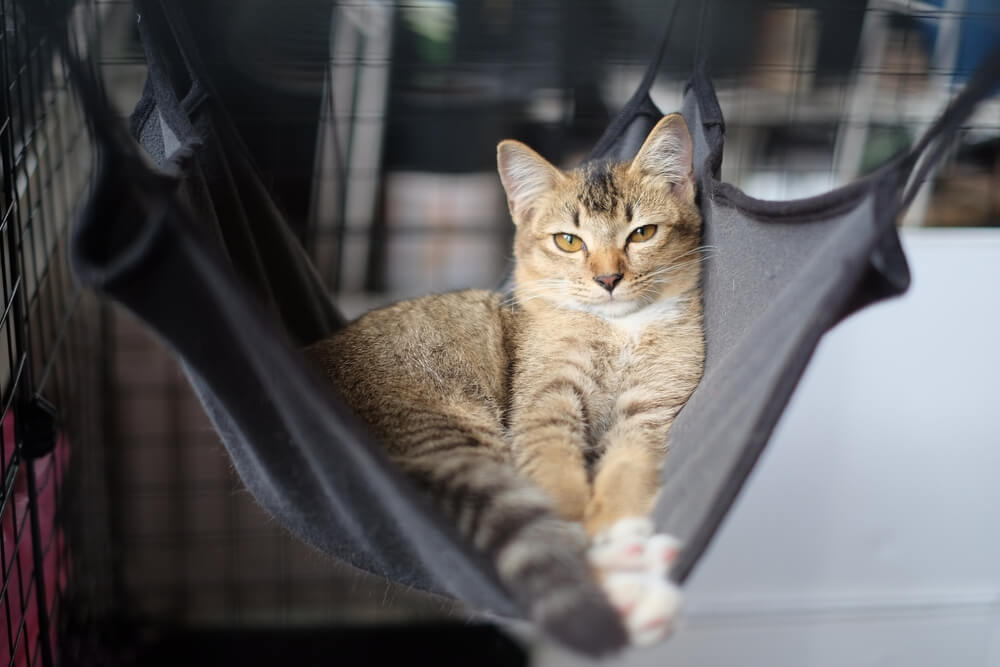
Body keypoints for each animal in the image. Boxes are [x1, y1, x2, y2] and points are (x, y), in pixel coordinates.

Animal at [304, 112, 704, 656]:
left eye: (642, 232)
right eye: (569, 241)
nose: (608, 279)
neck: (617, 330)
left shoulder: (653, 405)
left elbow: (629, 467)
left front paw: (616, 519)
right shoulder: (543, 399)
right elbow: (555, 481)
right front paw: (584, 522)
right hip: (455, 426)